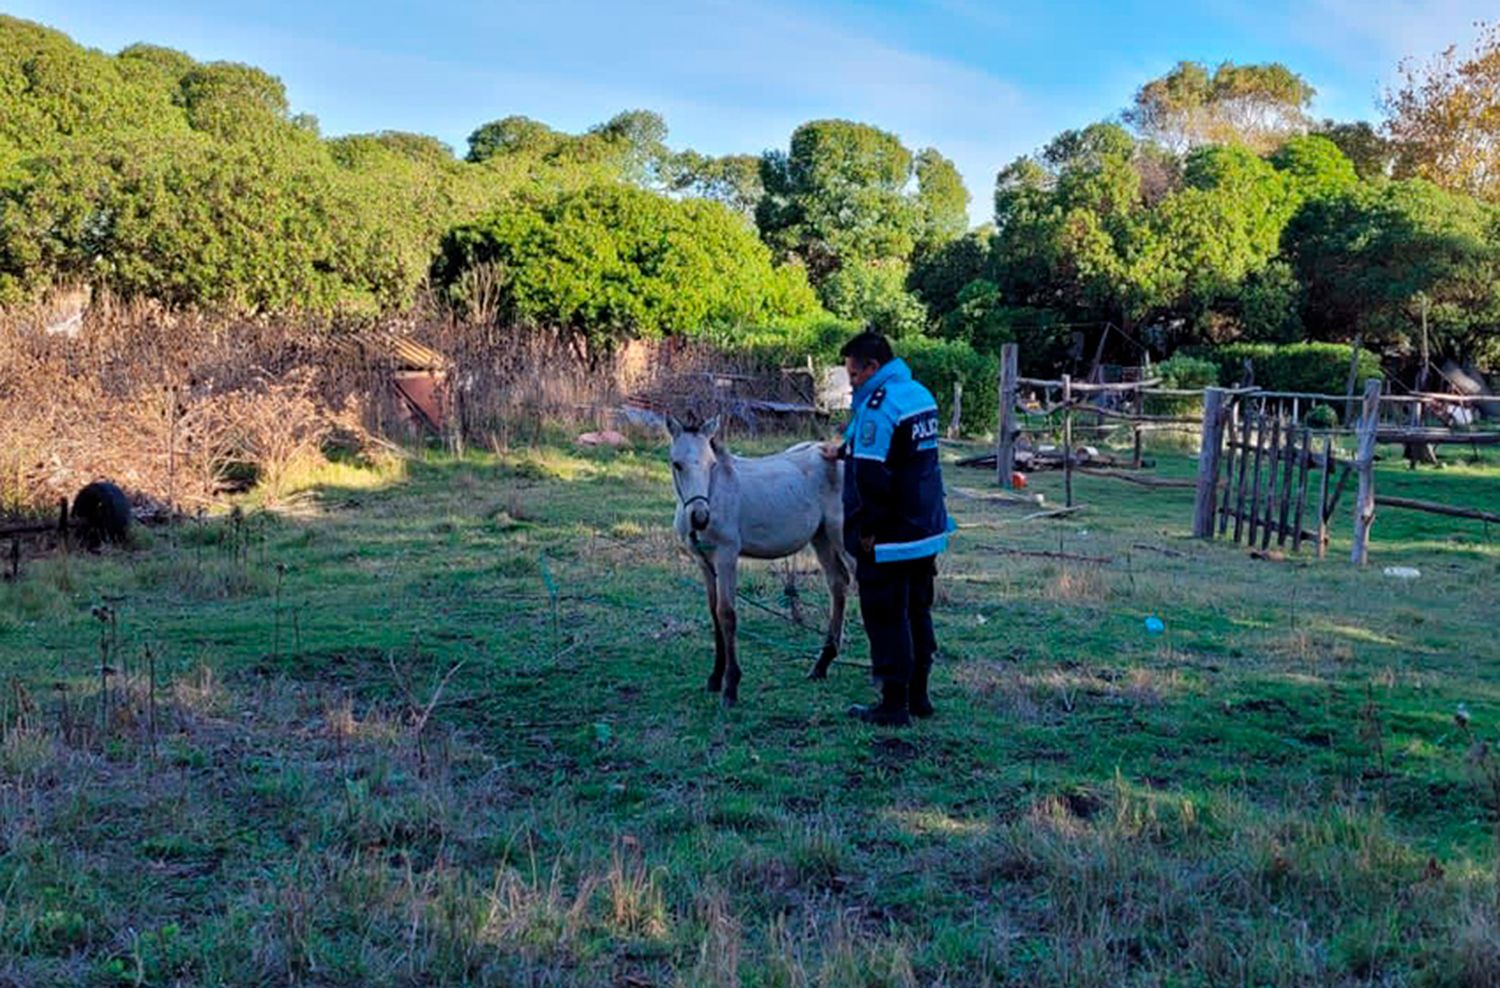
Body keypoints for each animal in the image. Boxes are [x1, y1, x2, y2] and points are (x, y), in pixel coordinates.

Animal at [666, 413, 852, 707]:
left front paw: (731, 687)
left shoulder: (727, 556)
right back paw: (822, 664)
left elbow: (727, 614)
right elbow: (714, 613)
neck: (716, 492)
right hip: (821, 537)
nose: (700, 517)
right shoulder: (704, 562)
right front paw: (715, 679)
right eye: (677, 464)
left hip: (844, 537)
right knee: (838, 583)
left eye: (711, 464)